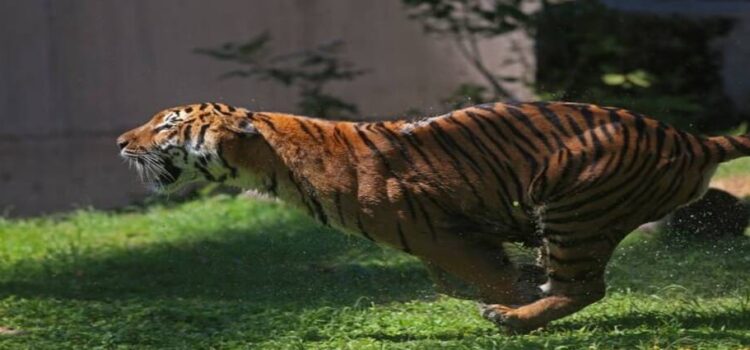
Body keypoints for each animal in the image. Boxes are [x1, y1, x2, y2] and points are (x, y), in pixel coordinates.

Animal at [116, 102, 750, 334]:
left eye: (167, 125)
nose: (121, 141)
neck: (271, 160)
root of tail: (692, 139)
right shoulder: (441, 242)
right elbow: (454, 280)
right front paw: (522, 279)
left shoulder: (437, 232)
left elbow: (482, 276)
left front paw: (512, 296)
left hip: (573, 206)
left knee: (587, 286)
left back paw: (513, 320)